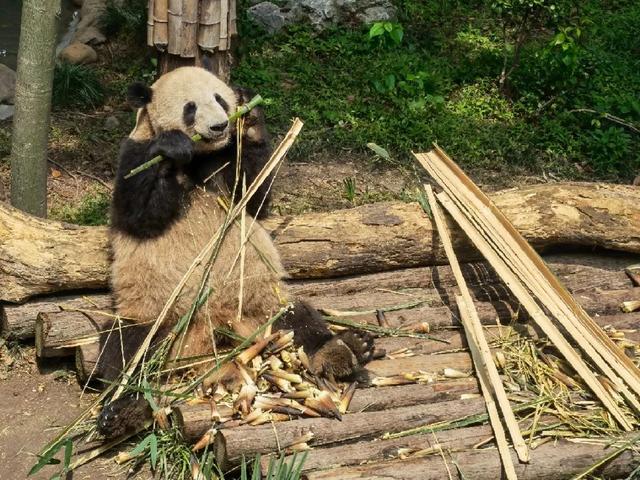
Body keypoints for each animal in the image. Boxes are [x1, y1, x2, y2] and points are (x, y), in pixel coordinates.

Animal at [95, 66, 376, 438]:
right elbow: (138, 213)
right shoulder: (134, 152)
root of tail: (212, 335)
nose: (220, 126)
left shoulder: (226, 166)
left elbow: (254, 194)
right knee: (127, 353)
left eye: (220, 99)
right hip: (155, 316)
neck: (202, 156)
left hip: (263, 307)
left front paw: (251, 119)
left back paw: (343, 350)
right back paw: (123, 411)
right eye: (190, 108)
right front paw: (172, 149)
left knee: (298, 317)